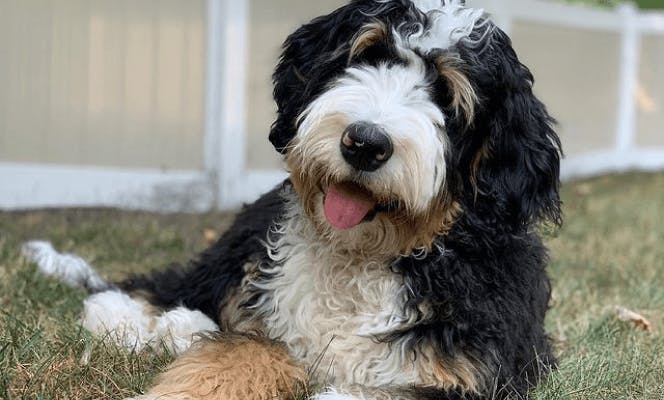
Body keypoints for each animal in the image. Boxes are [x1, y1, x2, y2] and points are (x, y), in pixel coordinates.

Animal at [26, 0, 560, 400]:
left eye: (447, 94)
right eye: (367, 56)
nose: (364, 143)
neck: (362, 255)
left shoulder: (484, 374)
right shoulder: (273, 330)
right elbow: (247, 351)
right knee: (179, 285)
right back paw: (131, 316)